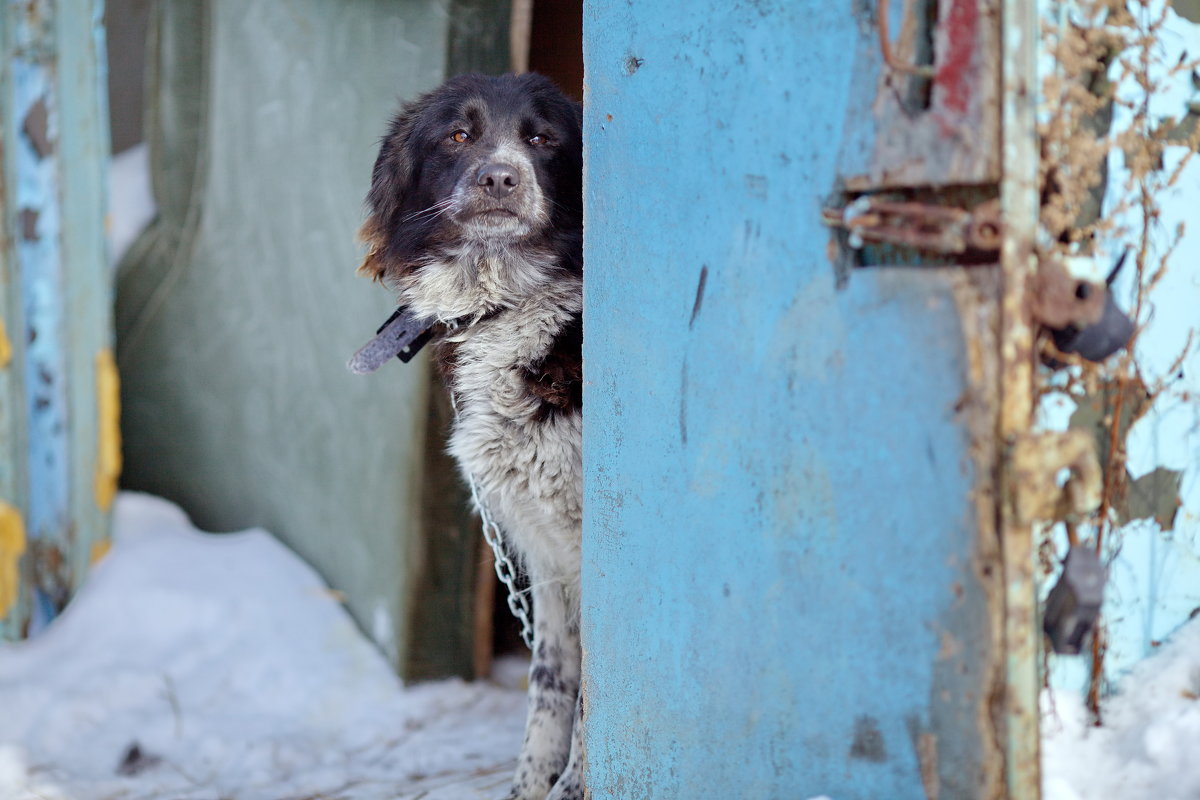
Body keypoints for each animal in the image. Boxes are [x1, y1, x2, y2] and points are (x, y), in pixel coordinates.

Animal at [350, 74, 585, 800]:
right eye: (458, 135)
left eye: (543, 138)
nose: (500, 178)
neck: (504, 302)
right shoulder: (547, 550)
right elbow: (553, 682)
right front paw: (531, 789)